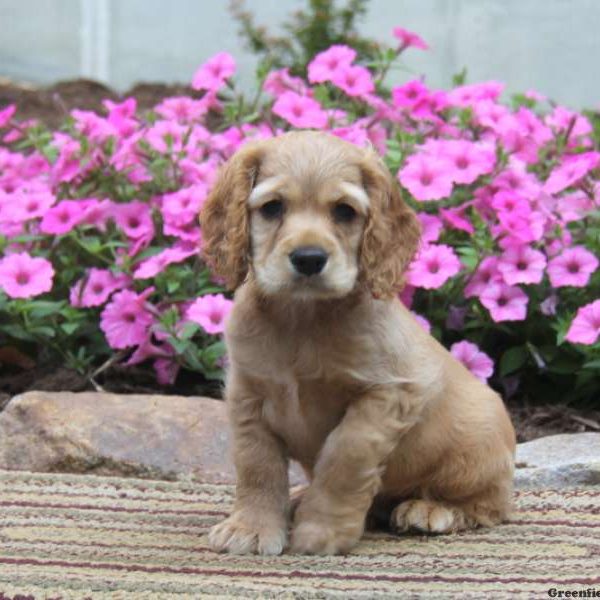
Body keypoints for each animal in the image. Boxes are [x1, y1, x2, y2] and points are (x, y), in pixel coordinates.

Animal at [202, 129, 516, 556]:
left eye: (344, 212)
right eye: (272, 207)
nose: (309, 258)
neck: (302, 317)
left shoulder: (387, 394)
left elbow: (344, 456)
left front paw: (321, 531)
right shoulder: (247, 391)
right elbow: (256, 463)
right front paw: (251, 528)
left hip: (475, 454)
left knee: (489, 505)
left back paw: (430, 510)